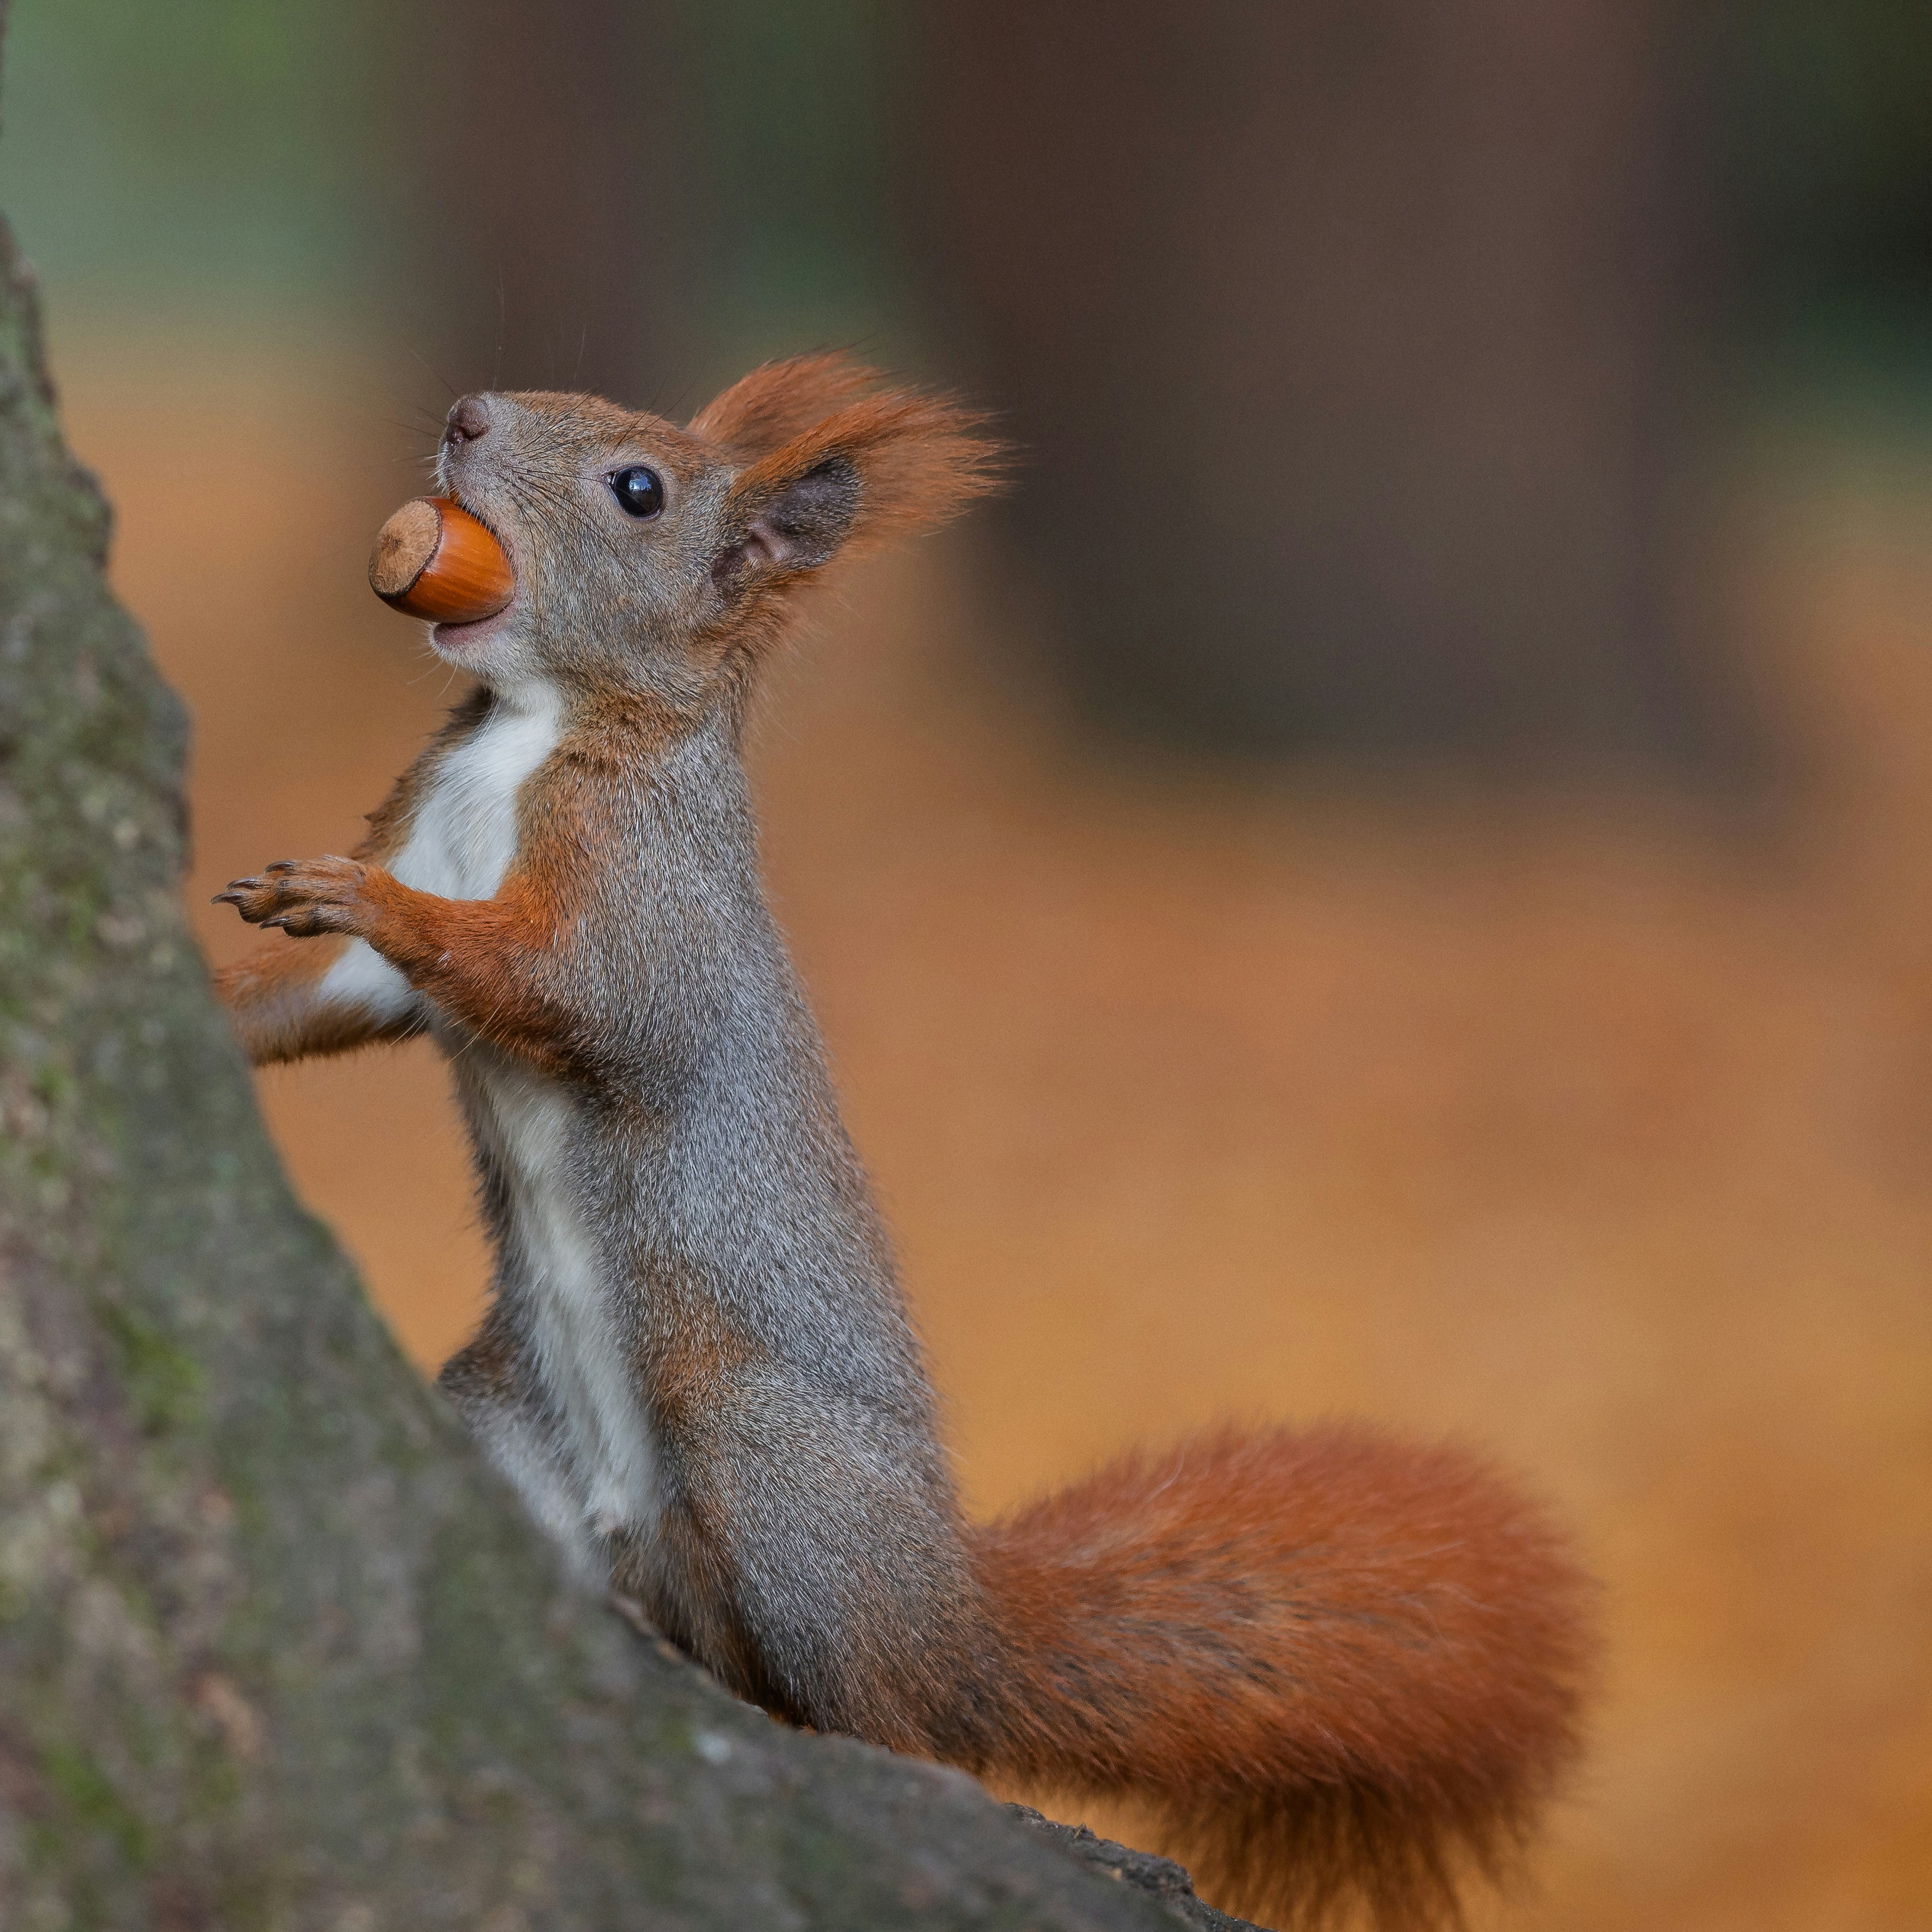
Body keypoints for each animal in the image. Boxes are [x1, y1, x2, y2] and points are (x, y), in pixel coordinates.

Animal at [213, 355, 1595, 1928]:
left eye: (639, 490)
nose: (466, 417)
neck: (523, 730)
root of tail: (948, 1624)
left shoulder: (648, 901)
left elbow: (568, 993)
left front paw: (358, 894)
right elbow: (327, 1000)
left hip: (766, 1458)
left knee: (889, 1717)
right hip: (504, 1427)